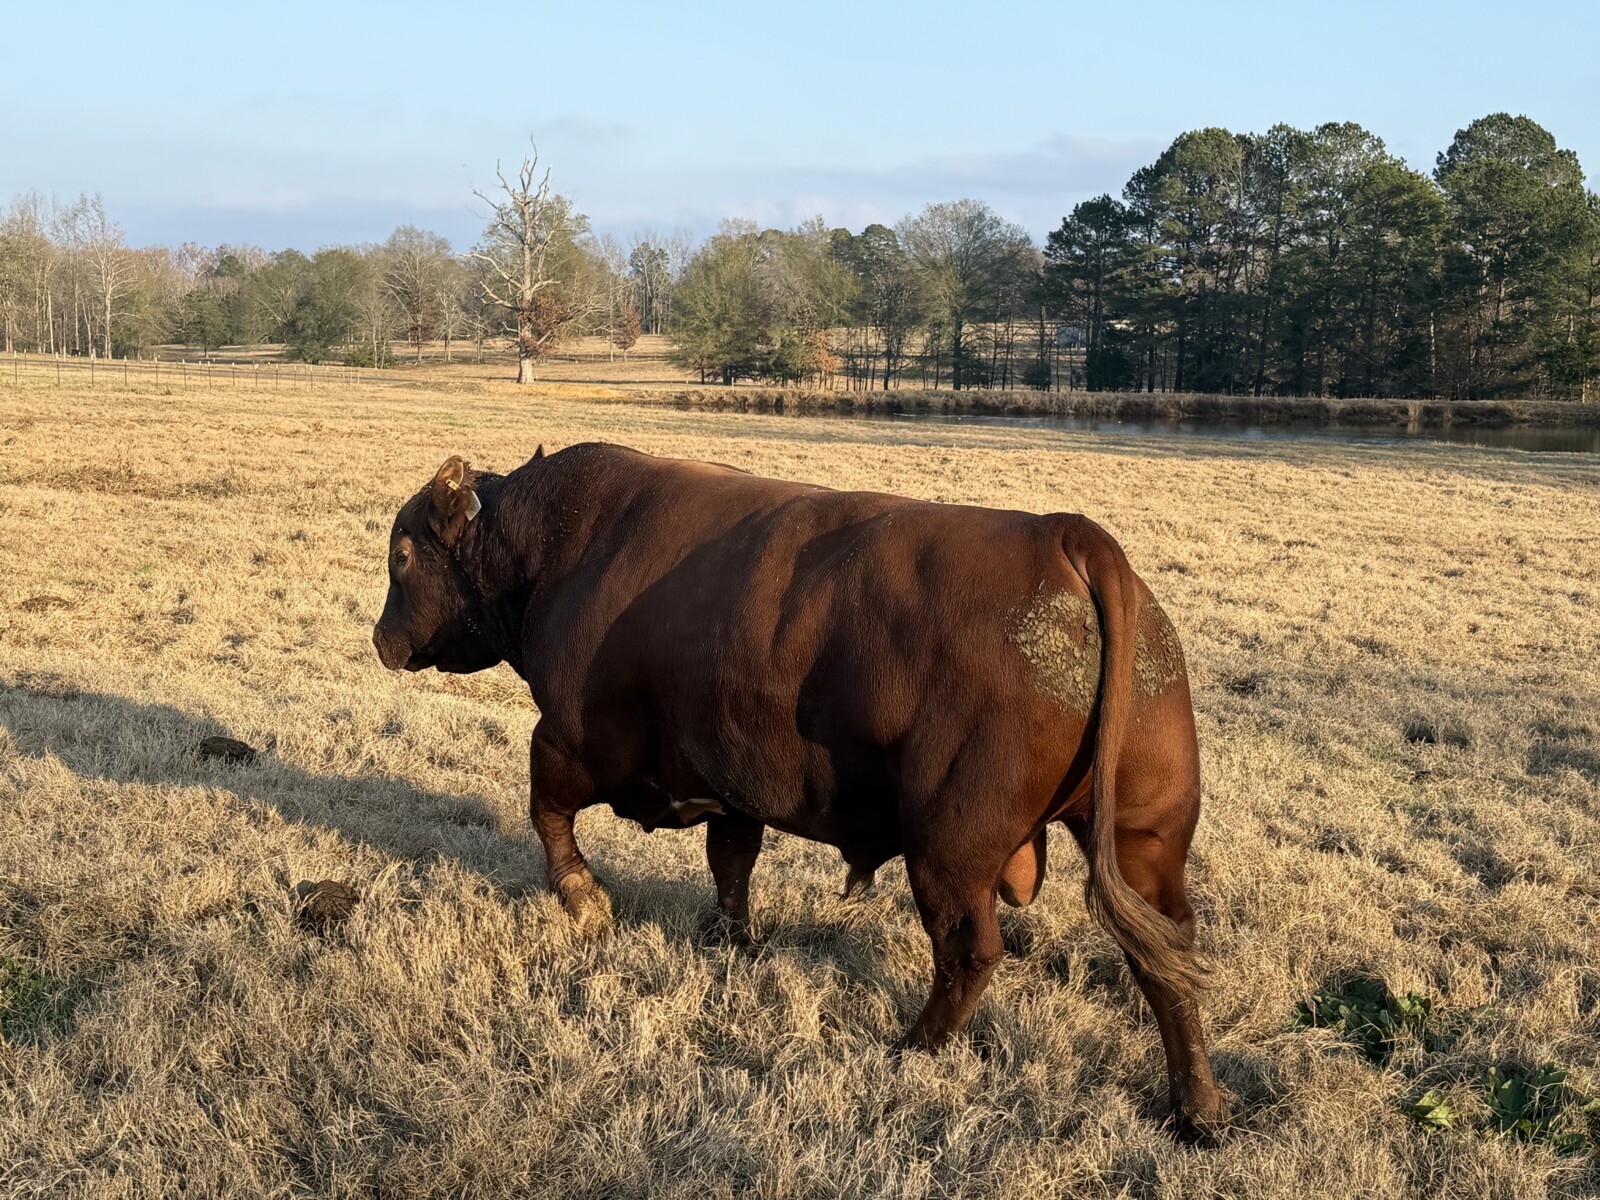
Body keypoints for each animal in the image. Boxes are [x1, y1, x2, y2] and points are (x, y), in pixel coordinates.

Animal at [372, 443, 1227, 1139]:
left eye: (403, 555)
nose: (381, 640)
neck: (555, 547)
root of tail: (1064, 536)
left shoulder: (568, 739)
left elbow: (547, 814)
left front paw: (586, 902)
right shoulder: (733, 781)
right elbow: (731, 862)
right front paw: (733, 941)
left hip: (949, 849)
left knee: (970, 951)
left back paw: (914, 1048)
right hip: (1144, 841)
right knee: (1166, 956)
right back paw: (1199, 1108)